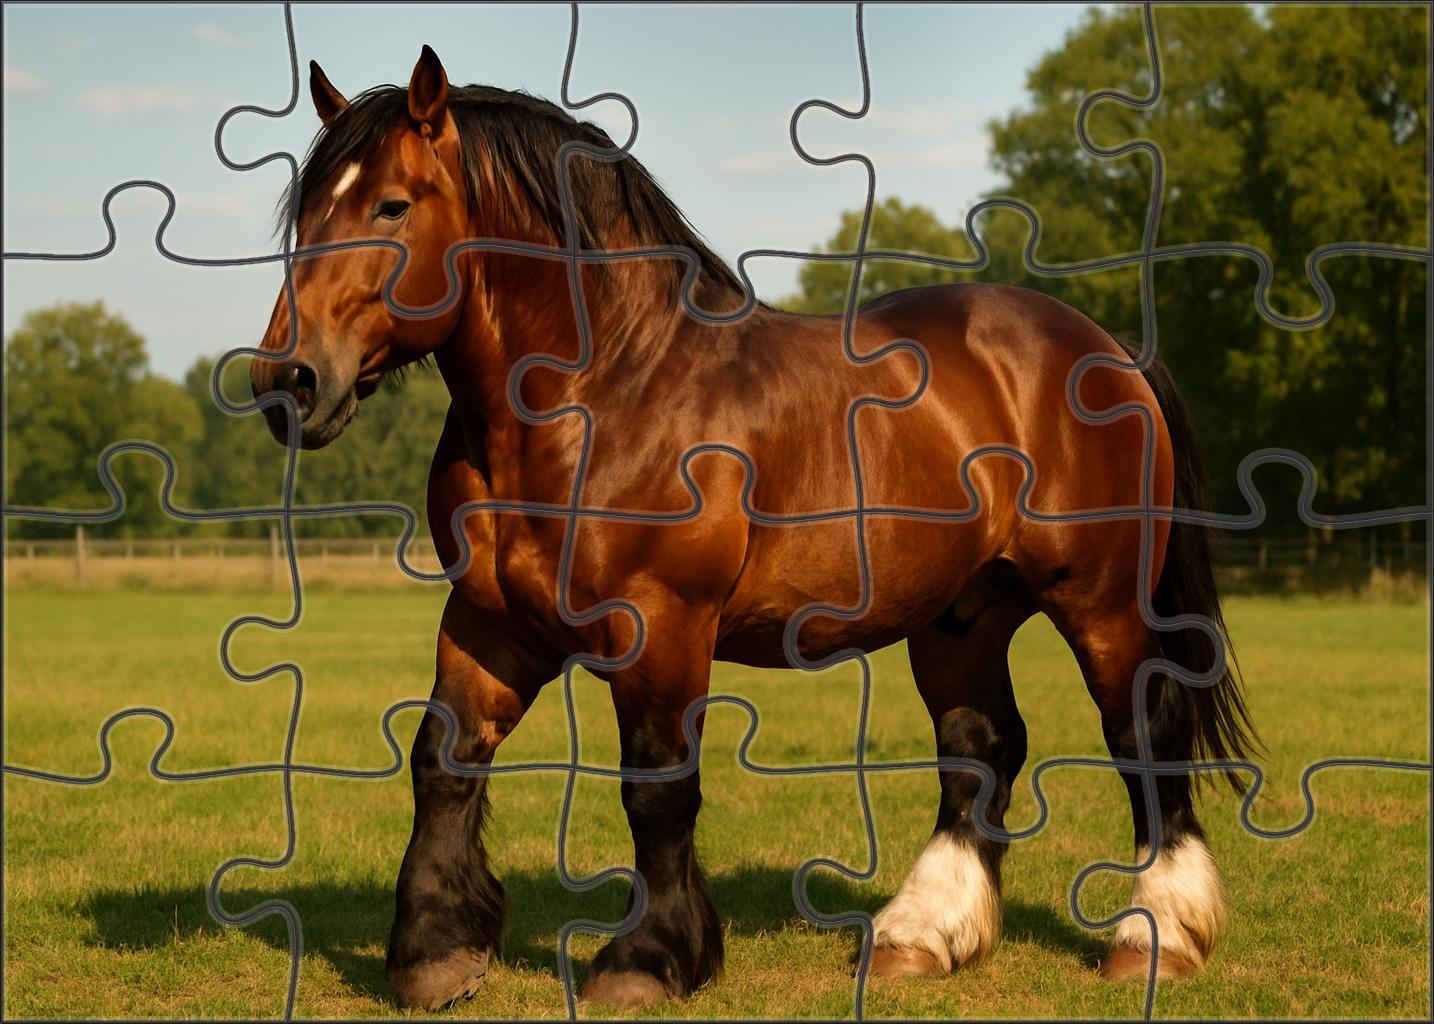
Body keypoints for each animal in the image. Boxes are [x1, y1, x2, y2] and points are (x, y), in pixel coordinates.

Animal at [250, 47, 1256, 1011]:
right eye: (306, 216)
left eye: (391, 204)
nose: (289, 380)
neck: (603, 394)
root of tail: (1107, 350)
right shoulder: (489, 622)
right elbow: (443, 761)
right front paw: (437, 952)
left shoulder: (659, 628)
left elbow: (657, 788)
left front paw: (649, 960)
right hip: (962, 616)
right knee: (982, 746)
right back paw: (921, 936)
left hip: (1100, 604)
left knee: (1145, 734)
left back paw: (1155, 937)